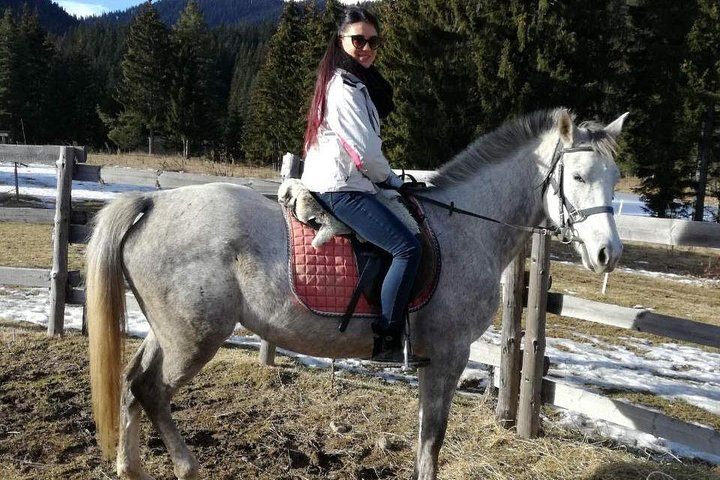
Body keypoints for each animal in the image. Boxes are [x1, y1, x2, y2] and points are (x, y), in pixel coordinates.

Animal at [86, 108, 628, 480]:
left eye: (615, 179)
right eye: (579, 177)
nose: (609, 253)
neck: (465, 228)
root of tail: (153, 202)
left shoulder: (434, 358)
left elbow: (425, 437)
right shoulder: (449, 355)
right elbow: (433, 439)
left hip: (167, 332)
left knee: (133, 384)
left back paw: (131, 468)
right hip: (194, 337)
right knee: (151, 391)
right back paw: (186, 466)